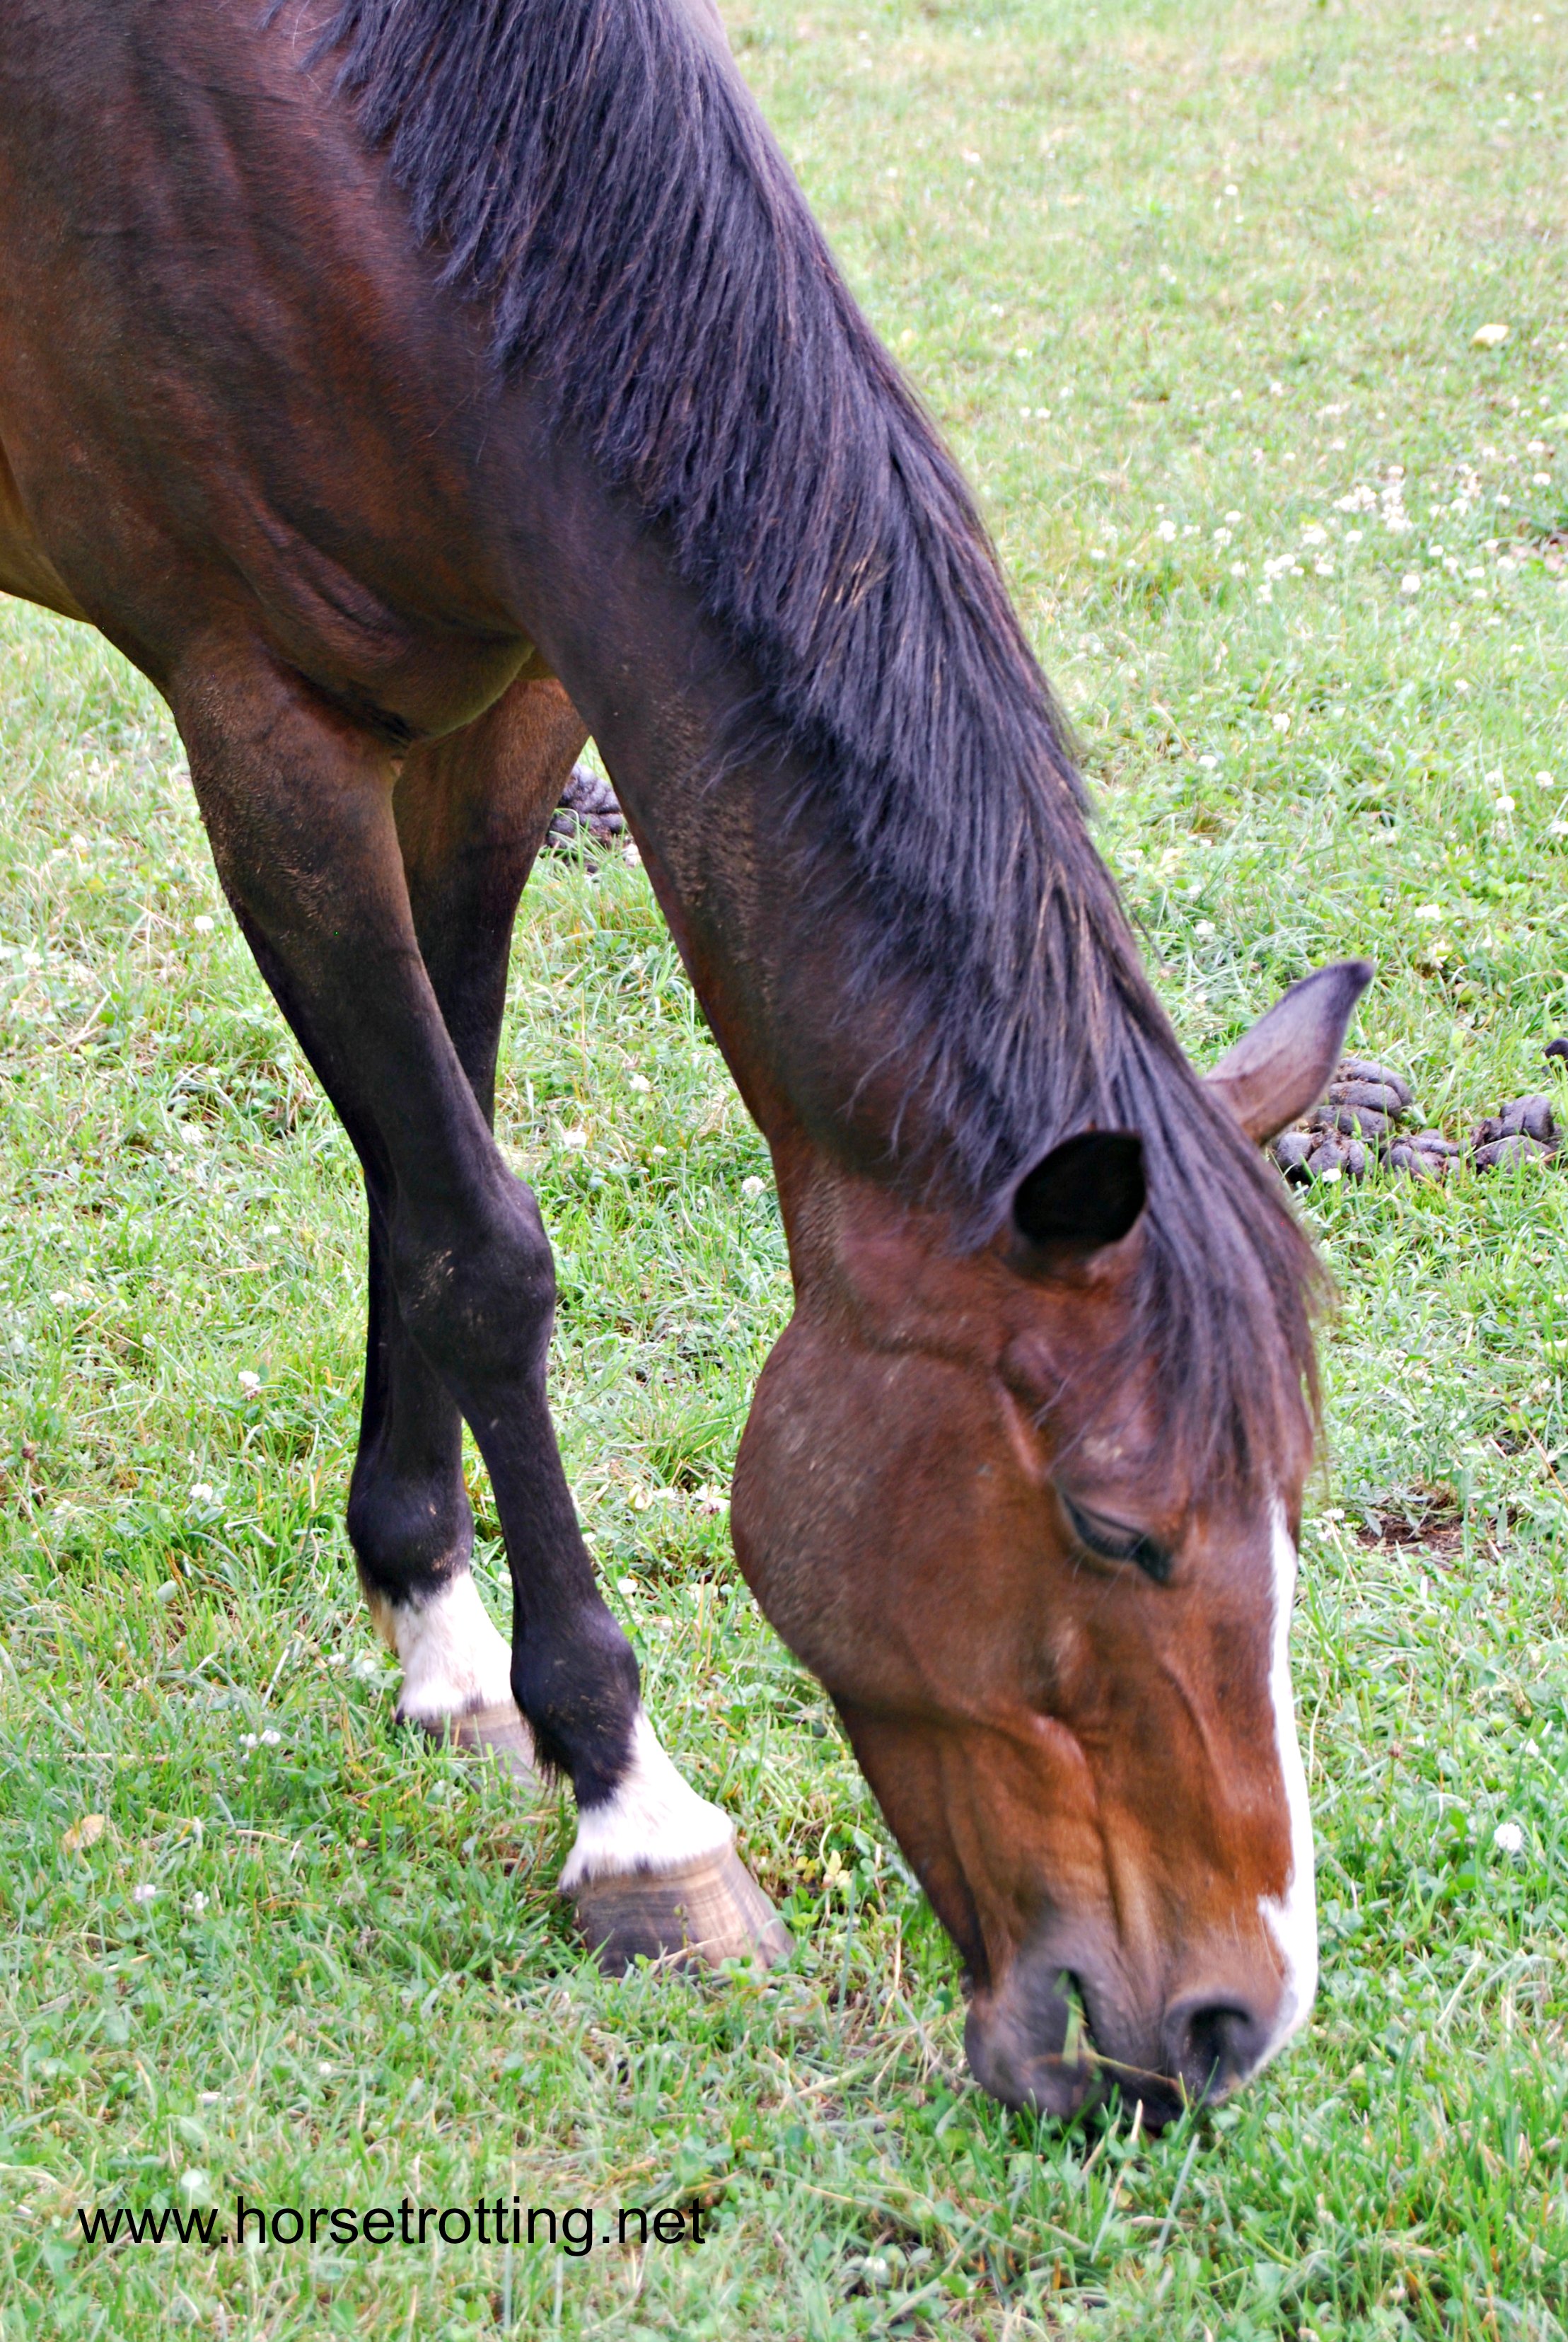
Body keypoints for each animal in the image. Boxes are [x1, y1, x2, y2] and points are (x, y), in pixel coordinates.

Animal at [0, 0, 1369, 2128]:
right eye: (1113, 1528)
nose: (1231, 2024)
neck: (329, 154)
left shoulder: (498, 711)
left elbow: (423, 1180)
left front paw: (435, 1625)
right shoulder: (267, 740)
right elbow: (485, 1247)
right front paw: (635, 1816)